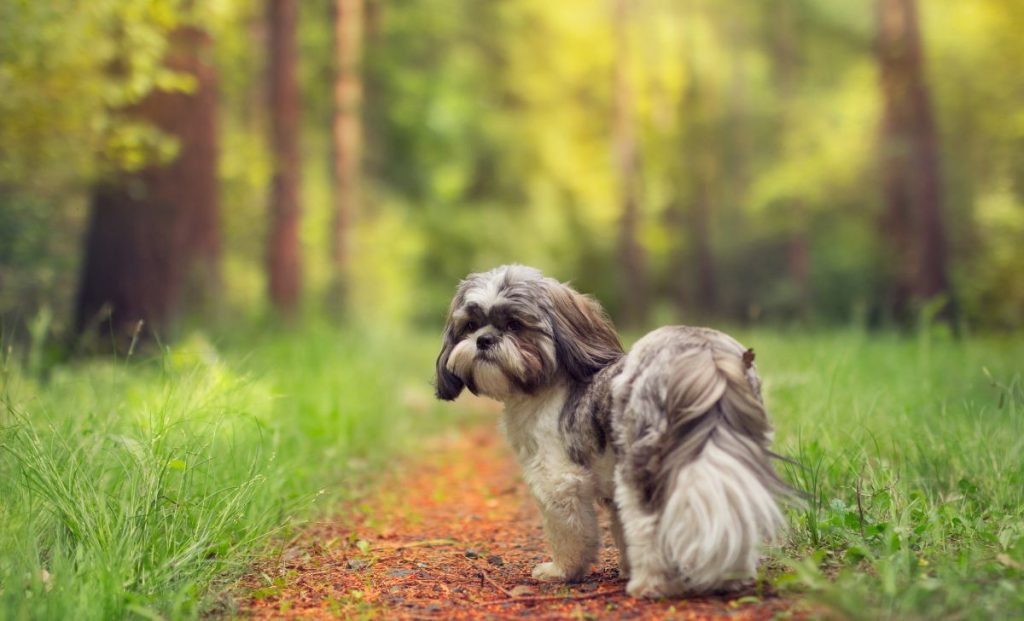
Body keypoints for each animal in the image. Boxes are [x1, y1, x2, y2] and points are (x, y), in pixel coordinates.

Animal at [432, 264, 790, 594]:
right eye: (470, 325)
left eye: (514, 325)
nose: (483, 339)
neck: (549, 383)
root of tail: (705, 356)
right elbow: (621, 530)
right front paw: (625, 567)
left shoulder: (559, 482)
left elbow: (570, 533)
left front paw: (562, 570)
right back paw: (728, 576)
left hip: (642, 466)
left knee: (650, 524)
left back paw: (651, 584)